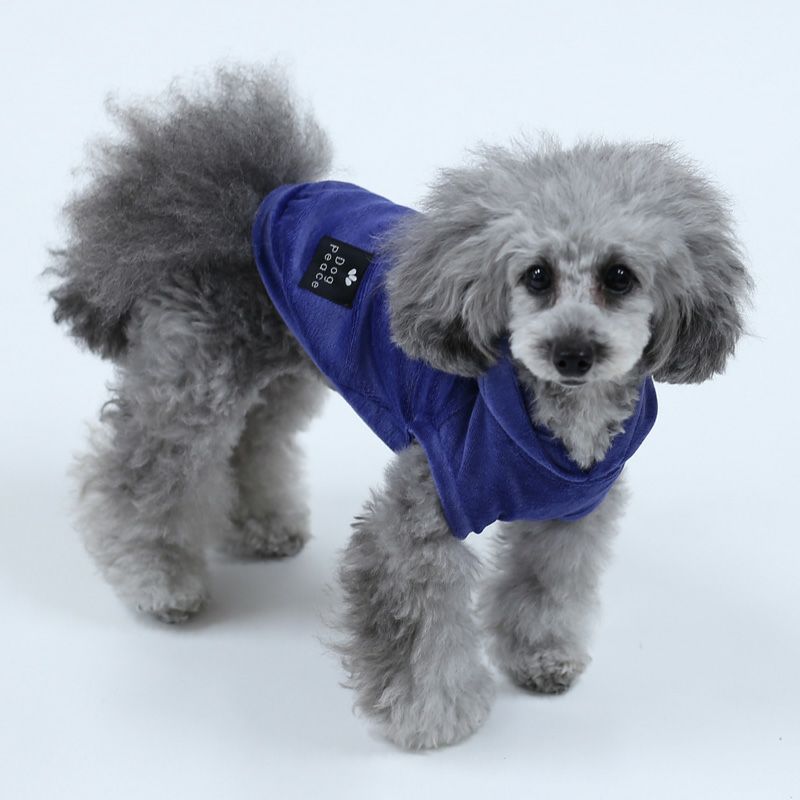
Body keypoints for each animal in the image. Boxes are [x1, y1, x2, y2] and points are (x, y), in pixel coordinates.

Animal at [47, 66, 751, 749]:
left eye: (619, 277)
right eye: (536, 276)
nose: (572, 352)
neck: (549, 422)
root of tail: (251, 196)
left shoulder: (569, 519)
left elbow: (546, 588)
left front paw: (541, 659)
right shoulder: (420, 515)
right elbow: (414, 624)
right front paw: (432, 717)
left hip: (285, 371)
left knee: (254, 443)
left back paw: (263, 527)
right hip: (198, 376)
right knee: (142, 473)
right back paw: (159, 583)